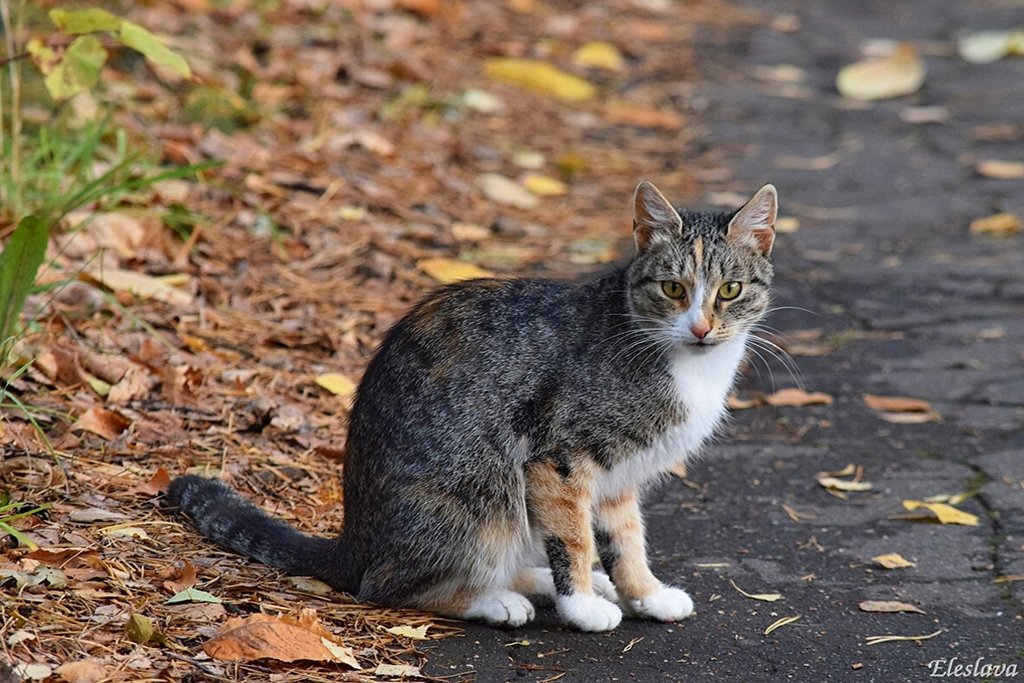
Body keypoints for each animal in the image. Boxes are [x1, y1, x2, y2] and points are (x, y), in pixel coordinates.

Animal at [167, 179, 774, 634]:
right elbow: (575, 536)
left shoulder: (619, 476)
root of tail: (354, 540)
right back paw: (496, 599)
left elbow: (626, 539)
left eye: (730, 290)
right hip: (479, 490)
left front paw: (644, 593)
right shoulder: (558, 457)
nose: (701, 327)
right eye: (673, 289)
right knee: (388, 584)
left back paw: (535, 580)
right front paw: (581, 606)